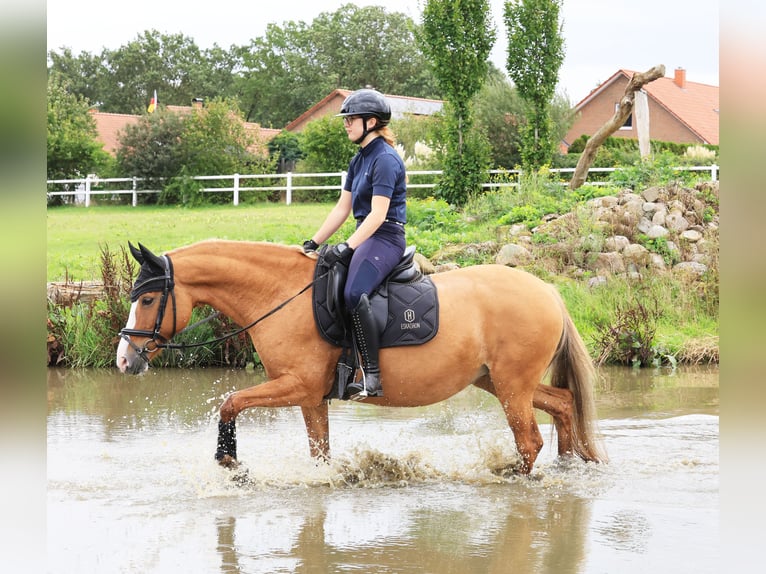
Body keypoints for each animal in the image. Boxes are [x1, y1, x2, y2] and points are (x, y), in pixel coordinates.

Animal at [116, 240, 607, 475]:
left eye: (147, 300)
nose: (124, 360)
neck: (281, 296)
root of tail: (547, 290)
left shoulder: (296, 386)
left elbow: (230, 402)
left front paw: (229, 461)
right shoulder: (311, 398)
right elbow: (320, 454)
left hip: (510, 387)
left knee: (529, 442)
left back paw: (512, 476)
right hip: (499, 382)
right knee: (563, 404)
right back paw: (570, 464)